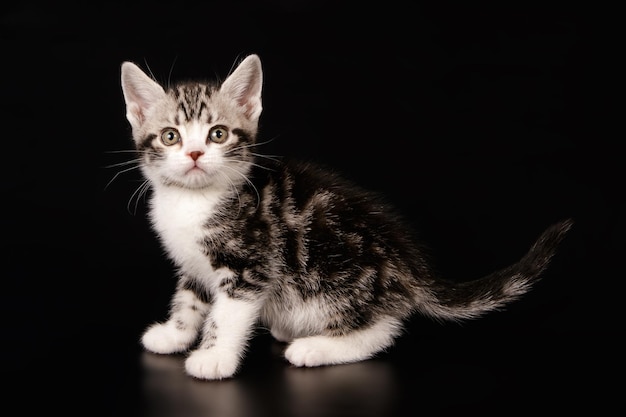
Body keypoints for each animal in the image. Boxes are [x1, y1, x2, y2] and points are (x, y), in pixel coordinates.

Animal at [118, 53, 572, 378]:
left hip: (333, 275)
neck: (194, 201)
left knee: (383, 327)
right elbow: (190, 298)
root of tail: (408, 268)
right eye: (171, 136)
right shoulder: (194, 263)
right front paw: (174, 333)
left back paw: (317, 346)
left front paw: (213, 358)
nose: (195, 154)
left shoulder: (250, 263)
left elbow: (225, 315)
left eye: (218, 134)